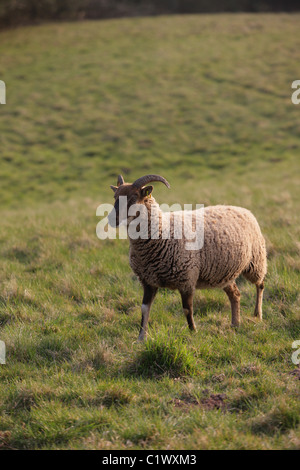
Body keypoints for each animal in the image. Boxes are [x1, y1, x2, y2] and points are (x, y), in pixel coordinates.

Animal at [108, 174, 268, 340]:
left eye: (133, 197)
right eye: (115, 196)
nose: (111, 219)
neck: (163, 232)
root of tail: (243, 209)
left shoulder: (187, 279)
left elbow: (187, 309)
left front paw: (193, 332)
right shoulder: (148, 281)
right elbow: (144, 309)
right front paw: (141, 338)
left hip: (256, 260)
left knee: (260, 284)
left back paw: (257, 314)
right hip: (224, 273)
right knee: (235, 294)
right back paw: (235, 323)